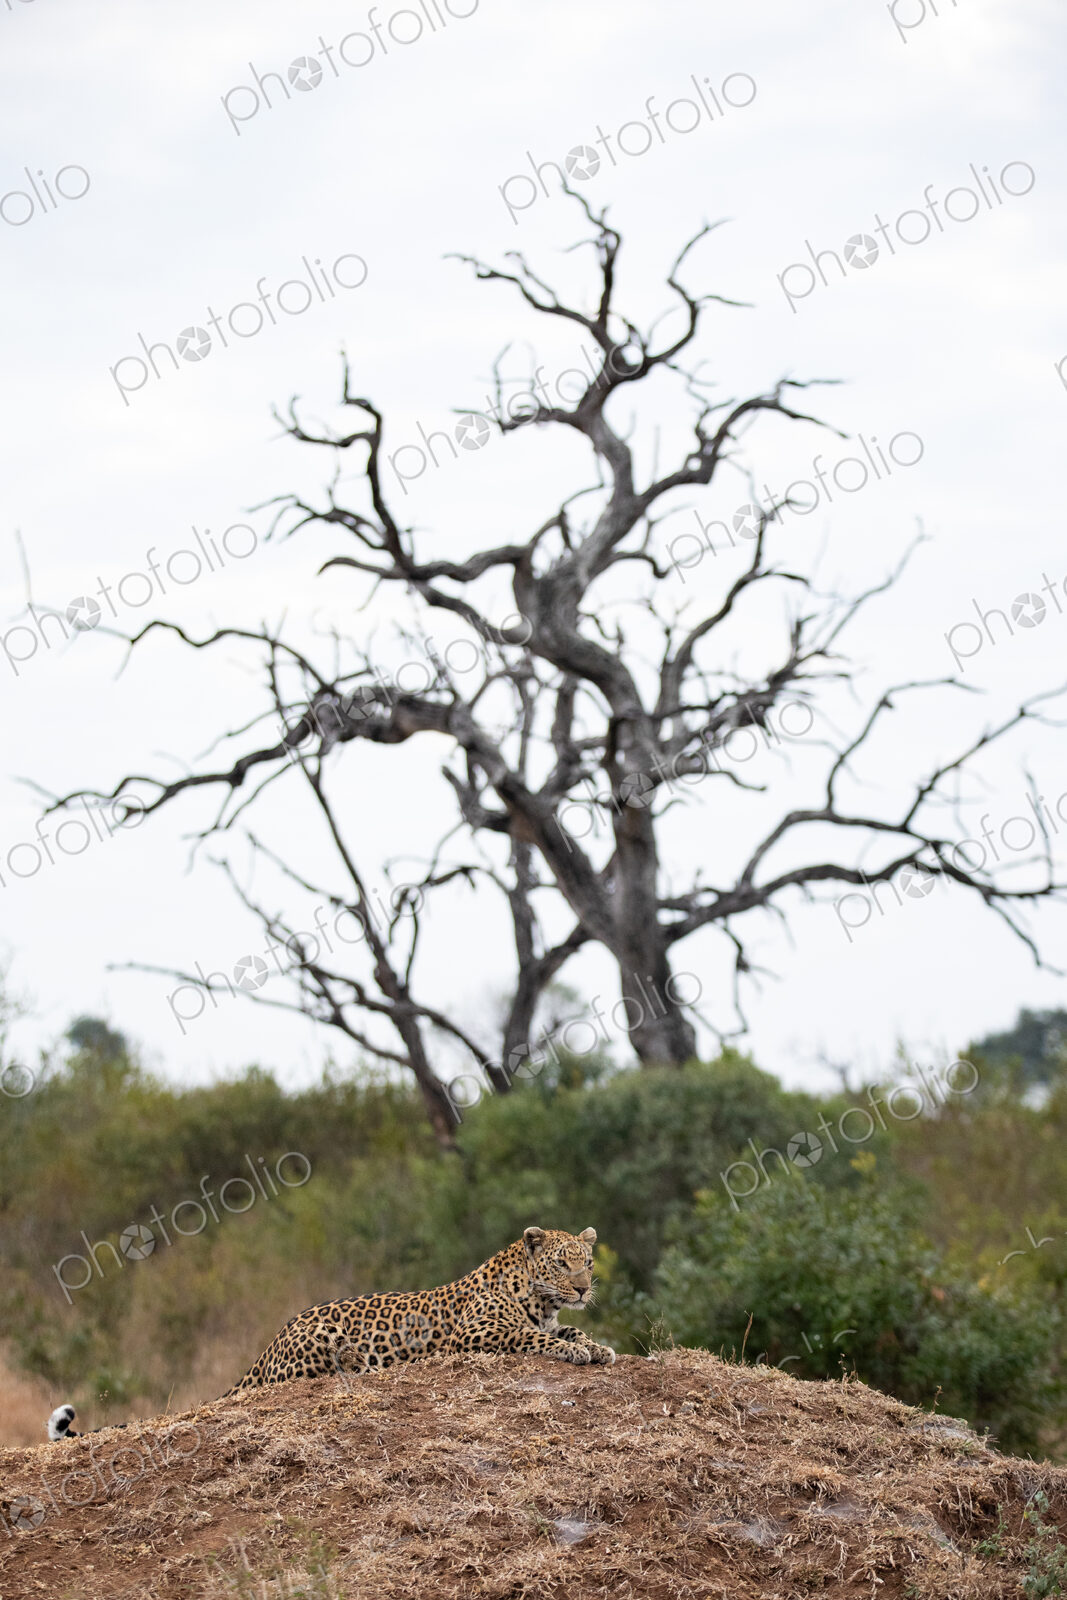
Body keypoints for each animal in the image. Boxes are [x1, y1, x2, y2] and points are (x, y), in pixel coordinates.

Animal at [48, 1225, 613, 1440]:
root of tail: (267, 1345)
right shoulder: (472, 1337)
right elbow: (530, 1338)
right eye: (563, 1264)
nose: (584, 1287)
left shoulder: (554, 1317)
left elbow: (569, 1331)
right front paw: (578, 1351)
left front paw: (597, 1346)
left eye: (587, 1262)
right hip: (321, 1336)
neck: (538, 1297)